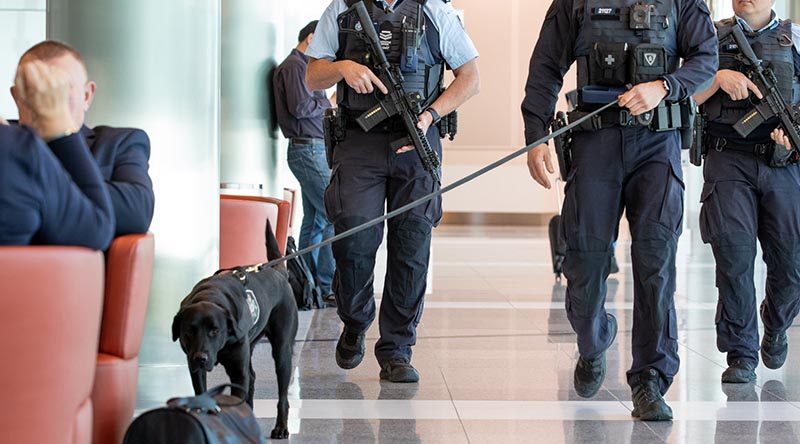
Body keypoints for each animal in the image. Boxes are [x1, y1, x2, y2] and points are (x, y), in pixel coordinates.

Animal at [173, 222, 300, 440]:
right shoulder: (195, 370)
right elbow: (202, 393)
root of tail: (278, 271)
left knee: (282, 395)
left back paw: (281, 427)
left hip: (282, 351)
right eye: (189, 331)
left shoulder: (237, 372)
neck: (211, 295)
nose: (201, 358)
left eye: (215, 330)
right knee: (252, 377)